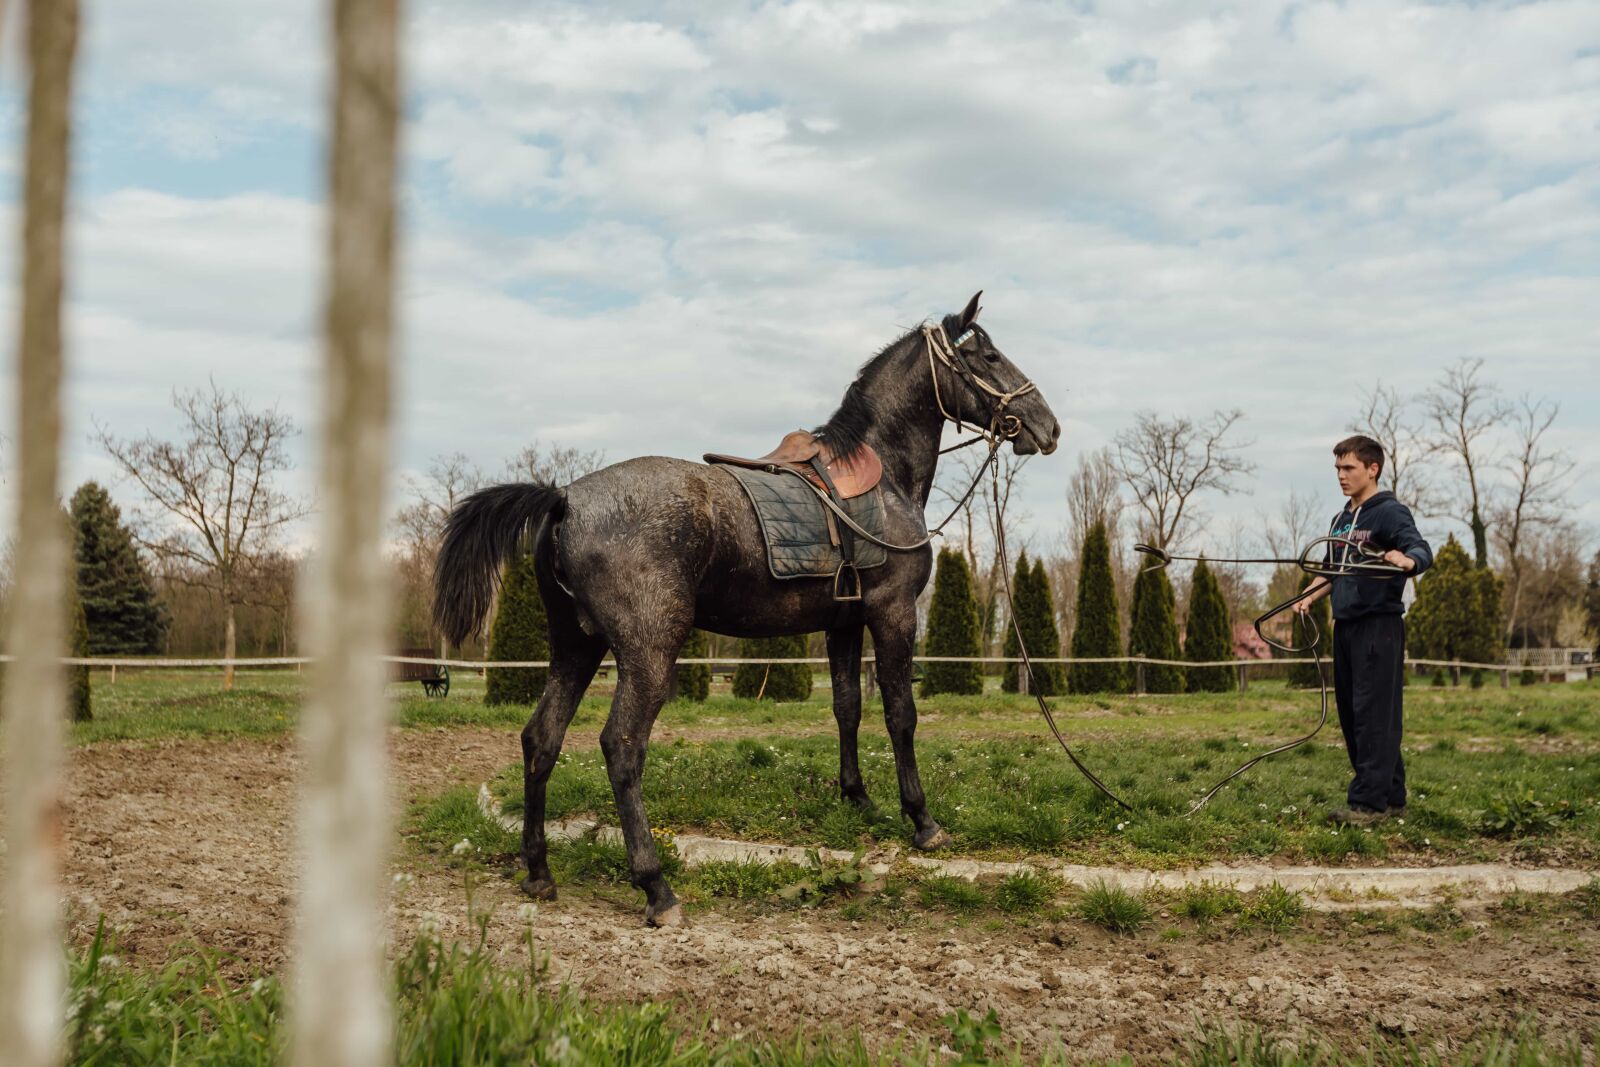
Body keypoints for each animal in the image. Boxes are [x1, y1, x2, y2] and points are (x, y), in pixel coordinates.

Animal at [433, 292, 1060, 926]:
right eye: (988, 355)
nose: (1048, 426)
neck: (881, 479)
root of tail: (564, 498)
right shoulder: (893, 615)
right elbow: (900, 715)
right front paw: (922, 820)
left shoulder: (843, 625)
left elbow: (848, 709)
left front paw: (857, 799)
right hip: (647, 653)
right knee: (622, 747)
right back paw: (656, 887)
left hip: (575, 646)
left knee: (541, 738)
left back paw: (539, 872)